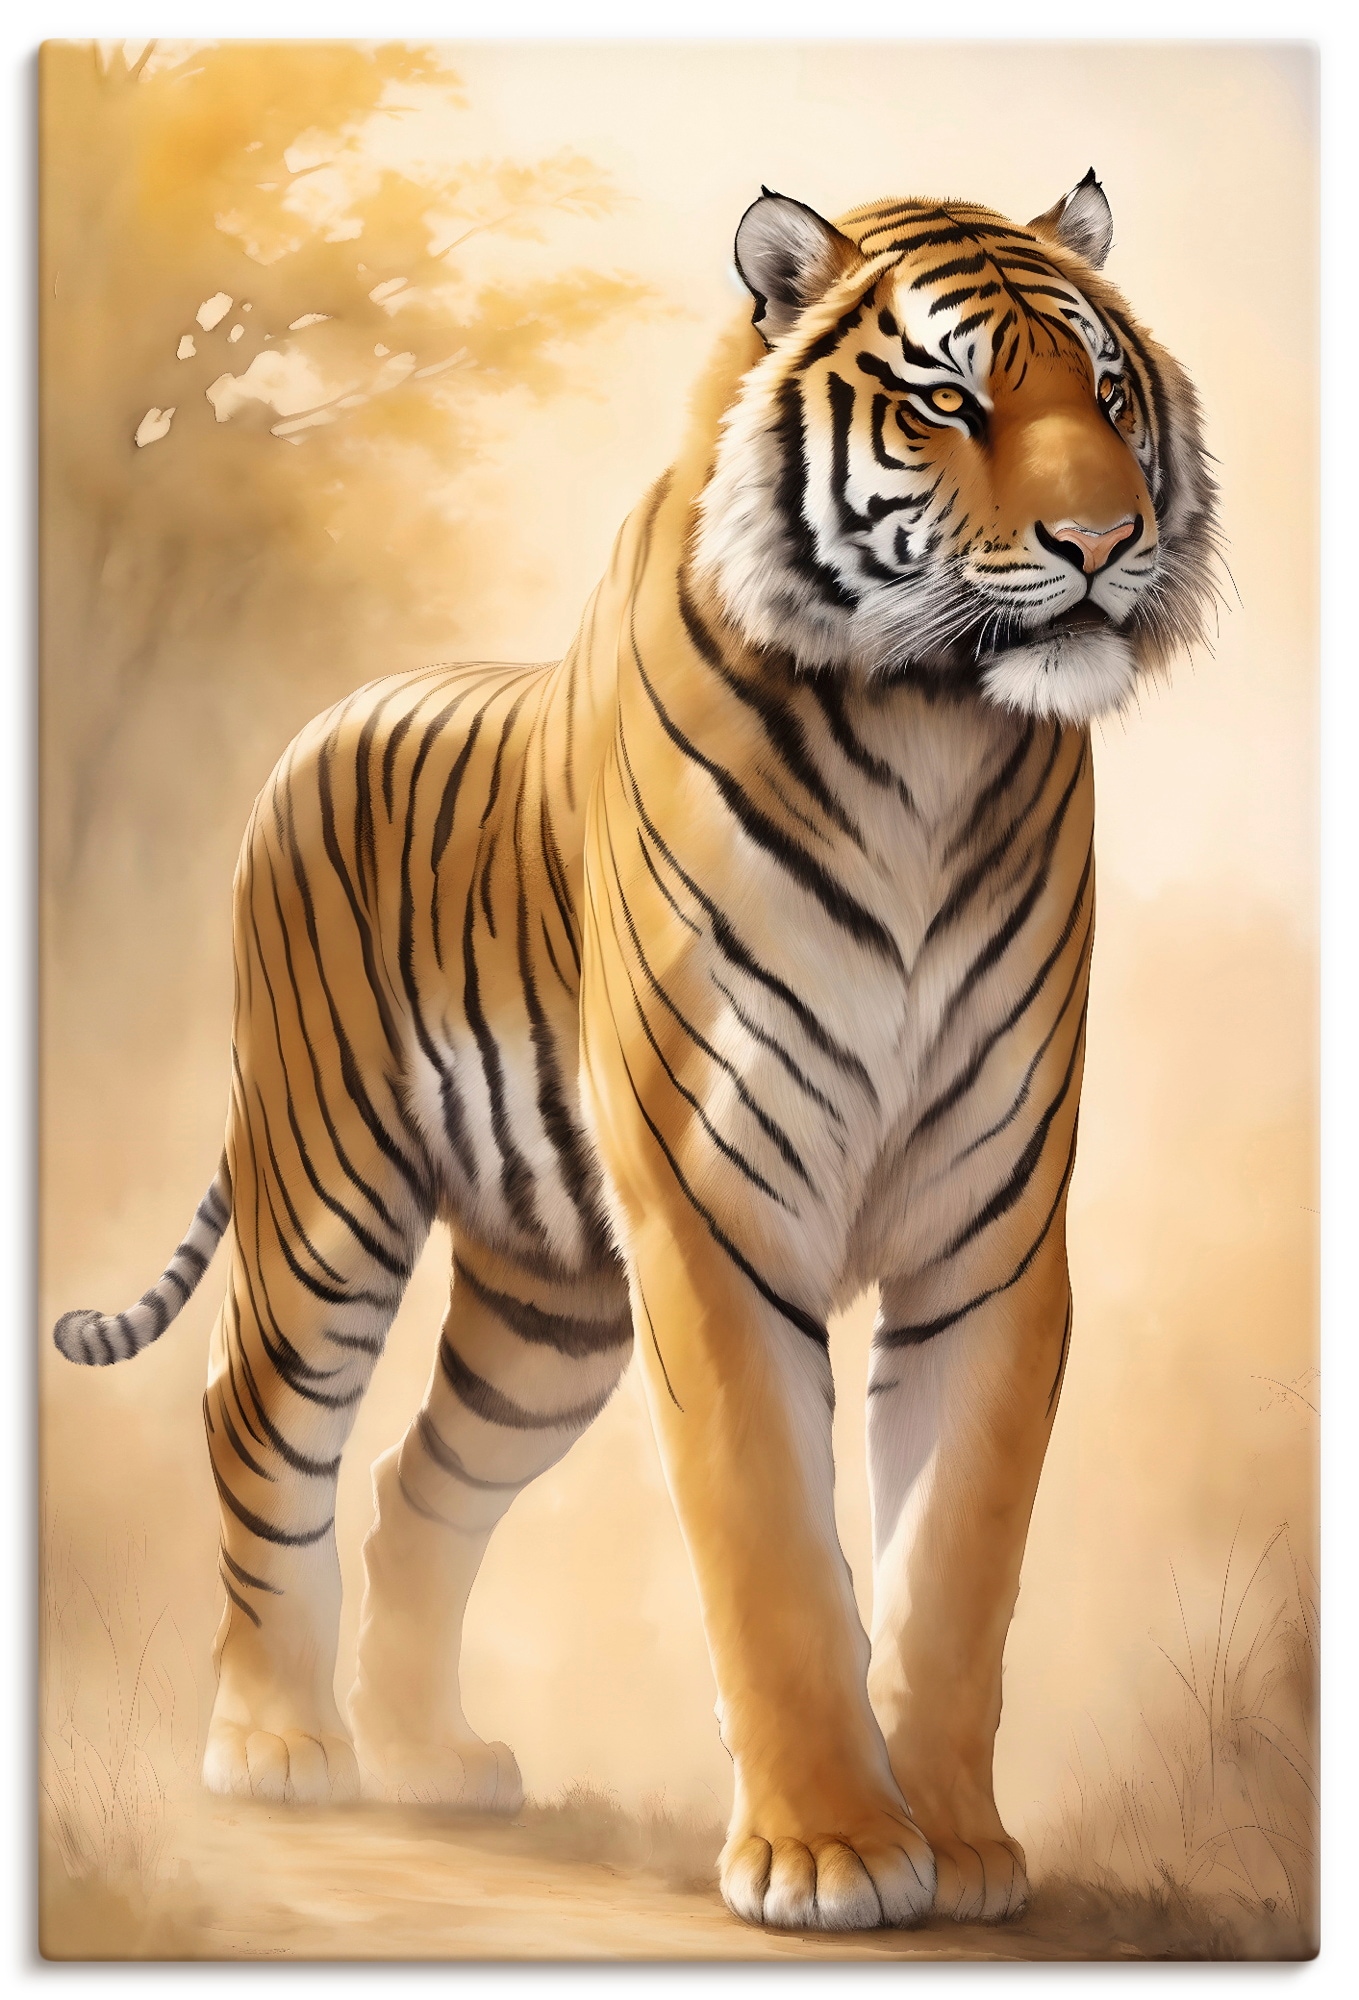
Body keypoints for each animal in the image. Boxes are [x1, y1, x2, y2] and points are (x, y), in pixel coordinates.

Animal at [53, 172, 1217, 1933]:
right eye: (948, 400)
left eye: (1103, 392)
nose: (1104, 543)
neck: (932, 731)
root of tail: (319, 721)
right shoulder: (715, 1209)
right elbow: (772, 1546)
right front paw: (828, 1851)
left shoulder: (991, 1228)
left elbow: (955, 1562)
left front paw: (960, 1850)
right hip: (322, 1195)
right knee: (253, 1419)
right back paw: (274, 1742)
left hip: (548, 1312)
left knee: (416, 1488)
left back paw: (426, 1757)